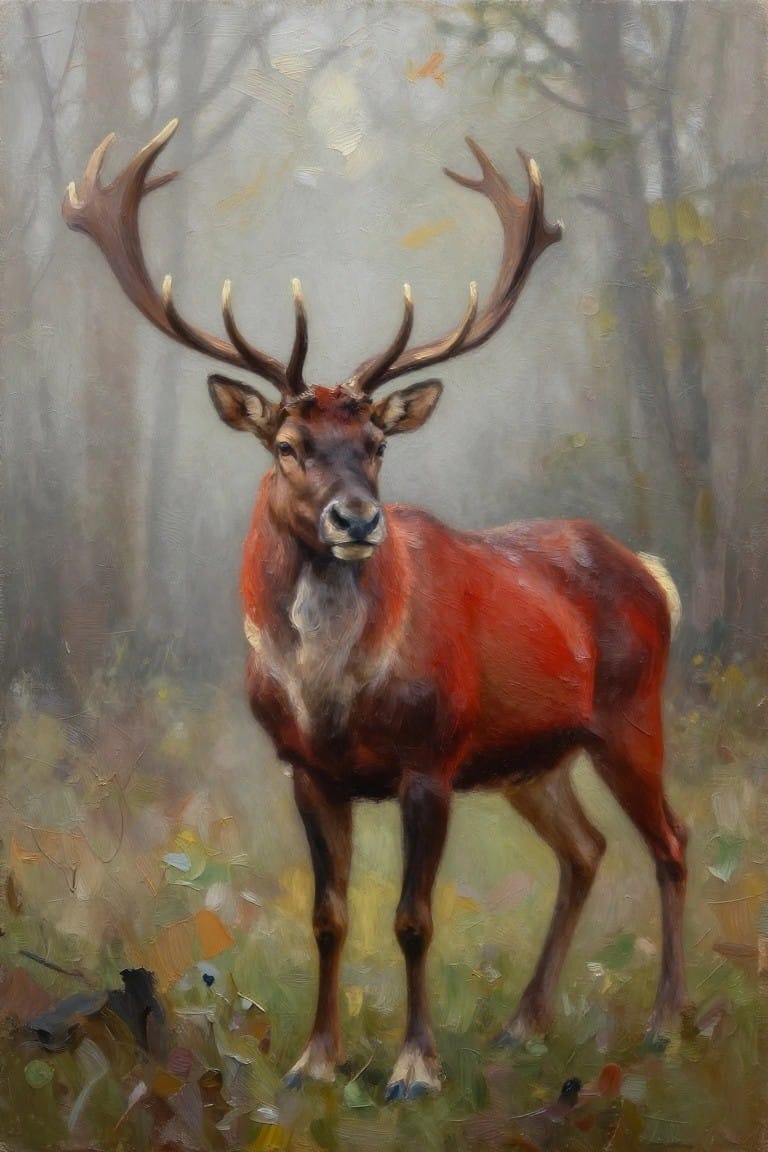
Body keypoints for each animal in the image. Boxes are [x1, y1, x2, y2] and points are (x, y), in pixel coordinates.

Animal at [64, 119, 688, 1101]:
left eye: (378, 444)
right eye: (288, 444)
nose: (358, 519)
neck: (331, 692)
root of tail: (653, 574)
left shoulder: (430, 757)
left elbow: (413, 917)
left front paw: (414, 1068)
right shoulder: (305, 768)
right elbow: (328, 914)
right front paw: (313, 1061)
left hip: (632, 714)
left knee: (671, 841)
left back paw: (664, 1025)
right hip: (533, 758)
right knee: (586, 850)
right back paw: (523, 1025)